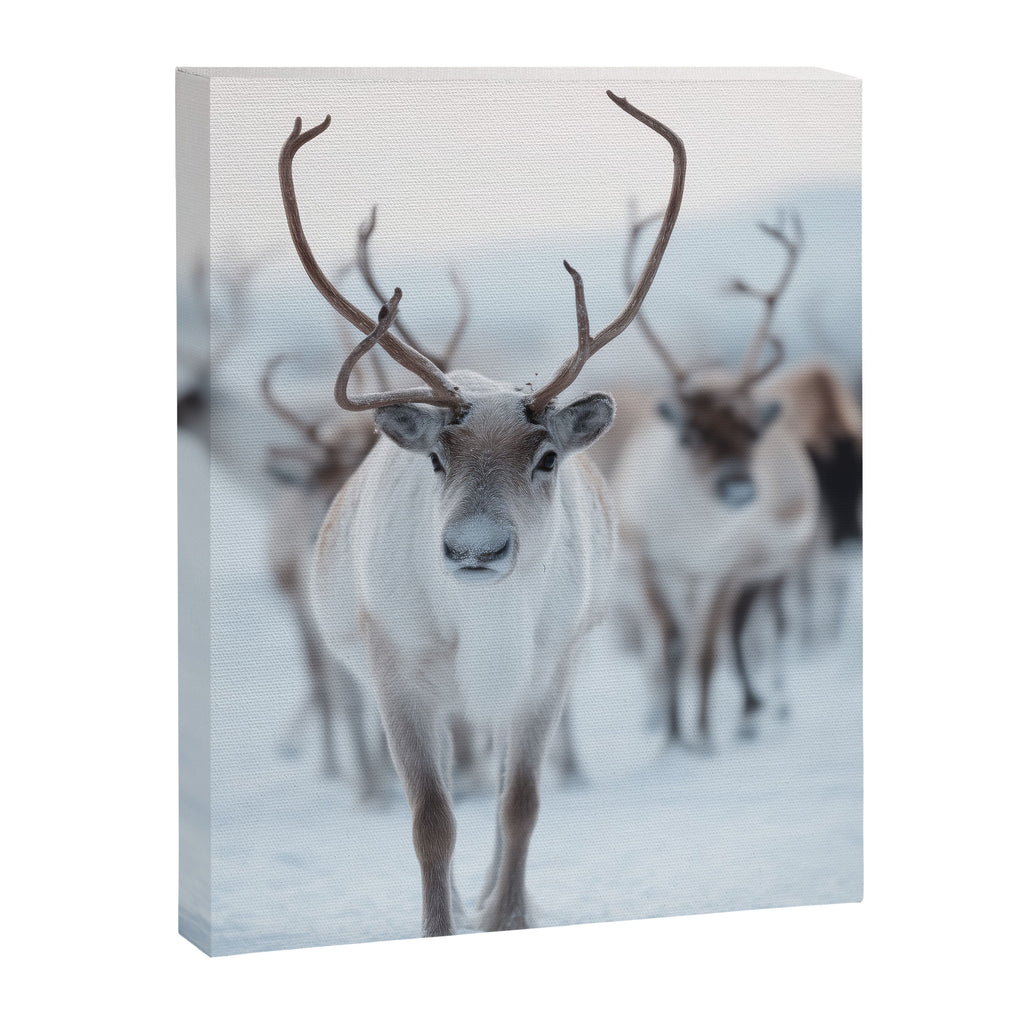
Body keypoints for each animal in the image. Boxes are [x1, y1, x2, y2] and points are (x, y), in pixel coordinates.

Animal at [278, 90, 685, 936]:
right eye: (437, 458)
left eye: (548, 457)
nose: (475, 549)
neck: (485, 625)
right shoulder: (397, 674)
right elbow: (432, 820)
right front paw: (444, 923)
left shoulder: (545, 671)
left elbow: (521, 805)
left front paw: (507, 918)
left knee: (503, 793)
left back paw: (506, 899)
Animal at [610, 211, 819, 747]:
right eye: (691, 435)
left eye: (752, 432)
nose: (739, 487)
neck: (694, 535)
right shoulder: (649, 562)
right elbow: (670, 643)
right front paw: (671, 736)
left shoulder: (724, 568)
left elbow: (707, 651)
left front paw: (701, 736)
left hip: (769, 568)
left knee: (754, 629)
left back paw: (762, 706)